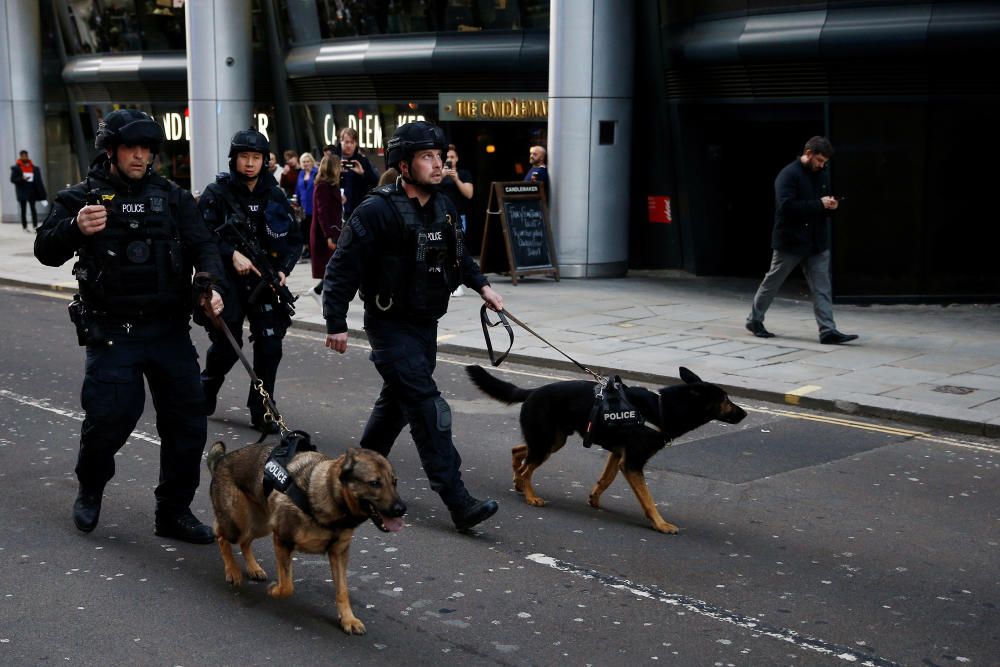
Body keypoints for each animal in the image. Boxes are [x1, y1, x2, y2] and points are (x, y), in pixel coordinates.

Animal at [207, 444, 406, 636]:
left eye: (394, 482)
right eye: (374, 483)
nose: (402, 509)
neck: (328, 495)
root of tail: (222, 460)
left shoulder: (339, 553)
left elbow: (342, 590)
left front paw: (348, 619)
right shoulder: (283, 540)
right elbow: (287, 586)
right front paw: (275, 590)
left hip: (261, 524)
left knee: (245, 541)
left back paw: (253, 568)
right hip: (237, 524)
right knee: (221, 535)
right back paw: (232, 570)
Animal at [466, 368, 744, 536]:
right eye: (725, 400)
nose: (744, 413)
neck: (662, 408)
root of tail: (532, 391)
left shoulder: (619, 456)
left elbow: (606, 479)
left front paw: (595, 499)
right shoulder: (632, 463)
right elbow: (648, 499)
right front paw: (660, 523)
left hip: (553, 440)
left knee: (519, 452)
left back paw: (519, 482)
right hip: (547, 443)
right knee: (527, 468)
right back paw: (530, 496)